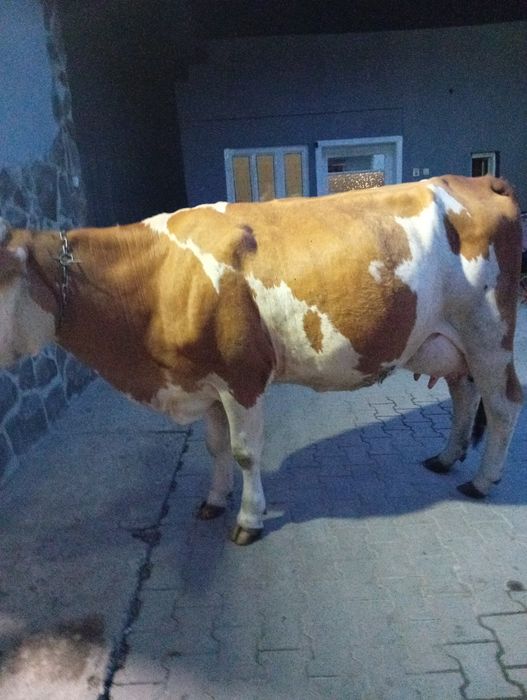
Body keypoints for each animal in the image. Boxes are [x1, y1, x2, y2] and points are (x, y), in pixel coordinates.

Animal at [0, 175, 523, 544]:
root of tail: (476, 179)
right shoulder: (206, 380)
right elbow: (214, 447)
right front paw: (214, 499)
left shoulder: (242, 376)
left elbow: (244, 451)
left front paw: (248, 519)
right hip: (447, 340)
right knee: (464, 393)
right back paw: (447, 457)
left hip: (489, 334)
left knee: (502, 405)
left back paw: (482, 481)